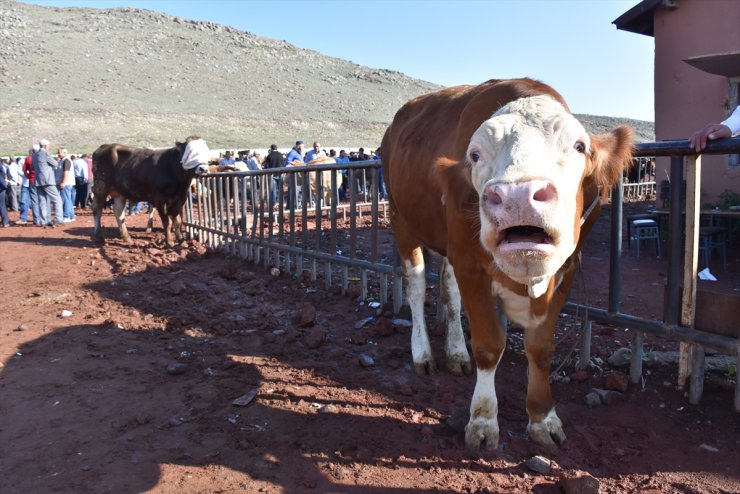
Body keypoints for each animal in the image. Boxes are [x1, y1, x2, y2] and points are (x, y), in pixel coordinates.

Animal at [384, 78, 632, 452]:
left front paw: (543, 418)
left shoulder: (568, 268)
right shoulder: (470, 263)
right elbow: (489, 346)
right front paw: (483, 421)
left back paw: (456, 353)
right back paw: (423, 354)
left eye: (579, 146)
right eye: (475, 154)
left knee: (448, 291)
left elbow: (540, 347)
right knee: (415, 287)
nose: (518, 196)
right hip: (402, 221)